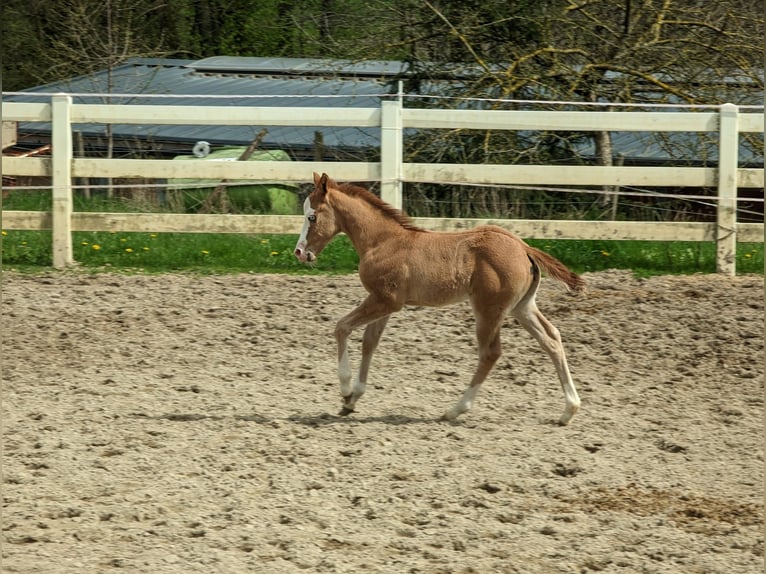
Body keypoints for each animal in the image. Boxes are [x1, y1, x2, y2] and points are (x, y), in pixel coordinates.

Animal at [294, 172, 585, 425]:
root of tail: (524, 247)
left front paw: (345, 389)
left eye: (312, 216)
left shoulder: (386, 300)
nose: (299, 252)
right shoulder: (384, 302)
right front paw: (352, 400)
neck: (383, 241)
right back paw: (568, 410)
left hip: (489, 309)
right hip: (522, 307)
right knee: (552, 339)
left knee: (491, 353)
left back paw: (454, 410)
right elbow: (370, 343)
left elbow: (342, 327)